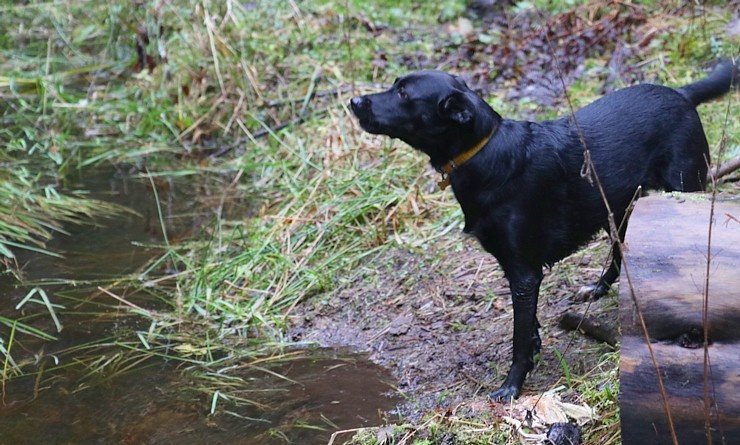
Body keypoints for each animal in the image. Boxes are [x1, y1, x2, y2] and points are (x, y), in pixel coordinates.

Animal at [350, 59, 736, 398]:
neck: (483, 151)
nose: (353, 101)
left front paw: (512, 386)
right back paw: (600, 287)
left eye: (403, 93)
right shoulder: (517, 270)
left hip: (682, 191)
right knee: (619, 250)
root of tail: (680, 93)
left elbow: (519, 337)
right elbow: (529, 329)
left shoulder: (524, 274)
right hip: (622, 207)